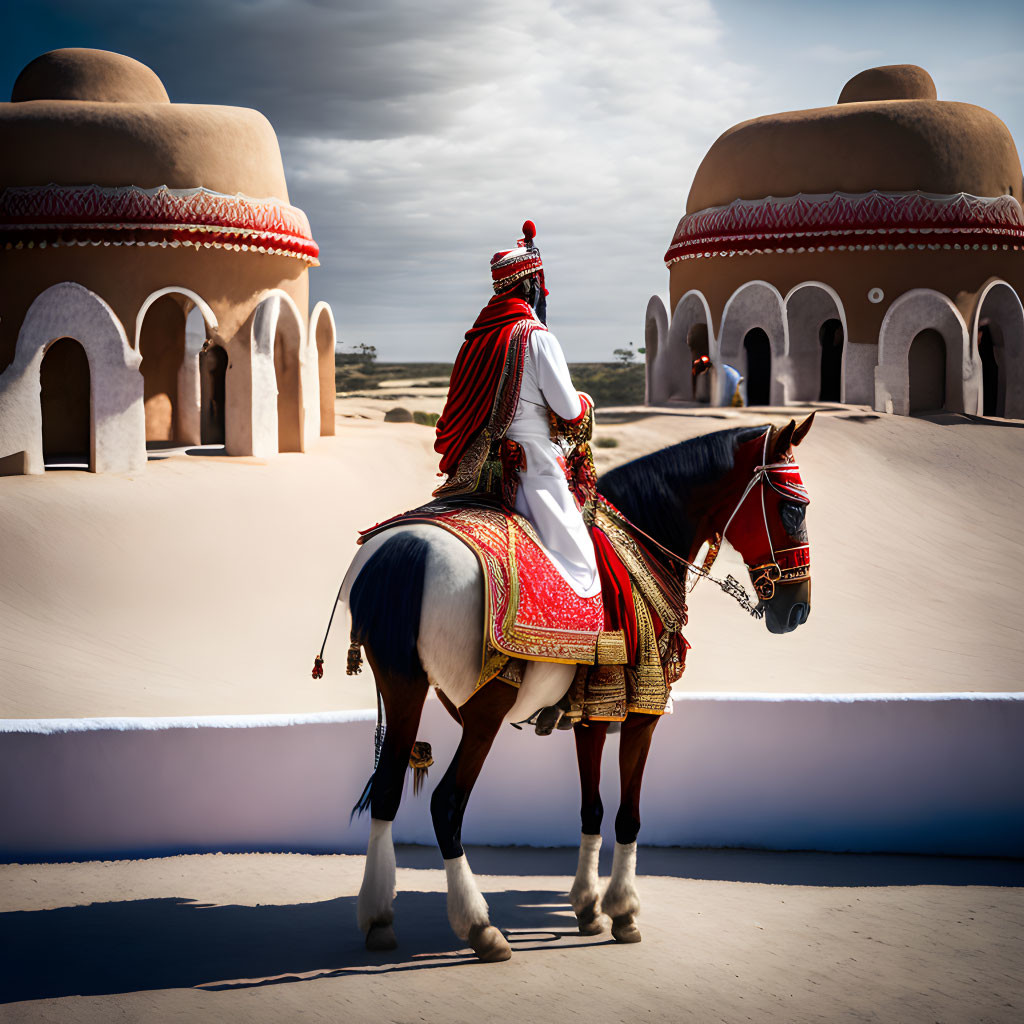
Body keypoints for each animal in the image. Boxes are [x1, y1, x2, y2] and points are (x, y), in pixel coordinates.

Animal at [337, 411, 815, 962]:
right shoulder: (642, 714)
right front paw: (623, 911)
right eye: (792, 508)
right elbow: (628, 814)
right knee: (446, 804)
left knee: (387, 790)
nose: (798, 610)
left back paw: (378, 918)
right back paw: (480, 927)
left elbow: (592, 807)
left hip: (402, 687)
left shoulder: (595, 712)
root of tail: (406, 550)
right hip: (485, 710)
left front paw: (587, 907)